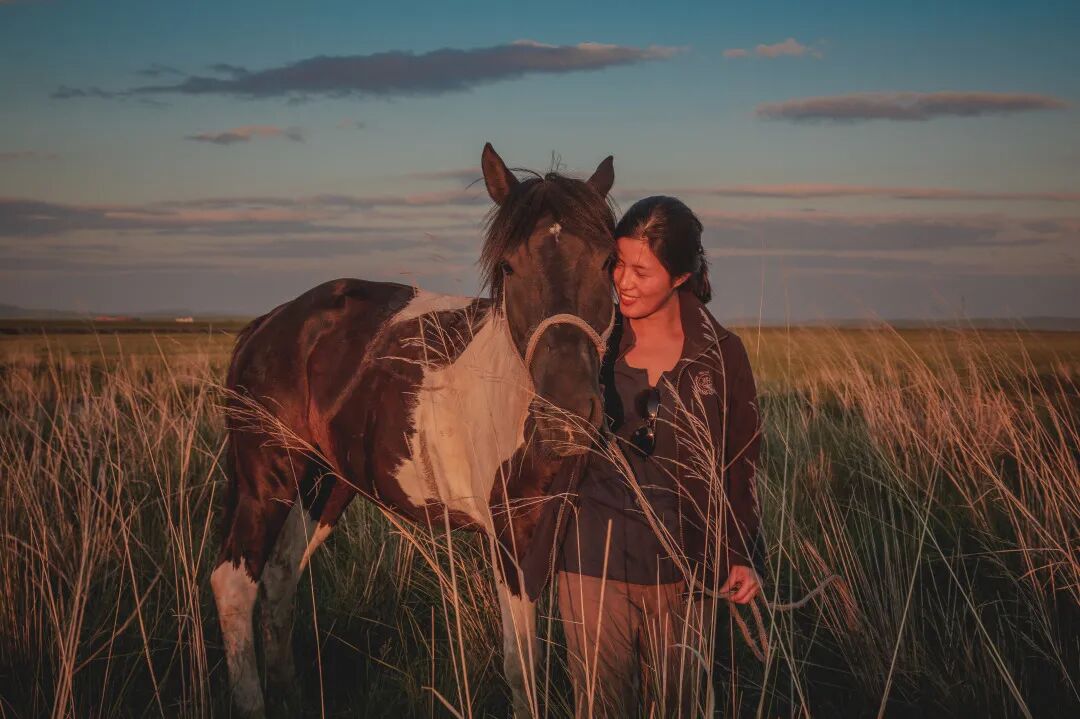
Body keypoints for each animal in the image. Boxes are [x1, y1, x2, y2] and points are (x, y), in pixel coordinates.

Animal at [210, 143, 618, 718]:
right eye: (509, 266)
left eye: (608, 261)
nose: (567, 413)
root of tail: (269, 323)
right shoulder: (511, 540)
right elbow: (523, 668)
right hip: (266, 482)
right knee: (234, 585)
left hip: (325, 487)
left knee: (280, 577)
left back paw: (290, 692)